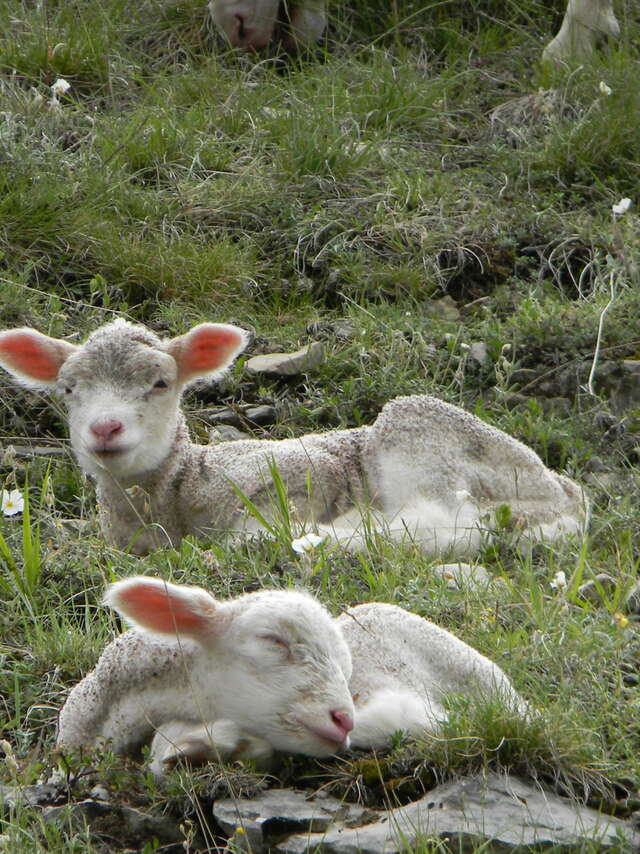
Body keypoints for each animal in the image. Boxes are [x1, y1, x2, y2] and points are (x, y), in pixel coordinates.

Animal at [0, 318, 588, 560]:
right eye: (69, 389)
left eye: (161, 382)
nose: (105, 427)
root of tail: (567, 492)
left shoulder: (295, 474)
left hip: (423, 439)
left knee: (452, 526)